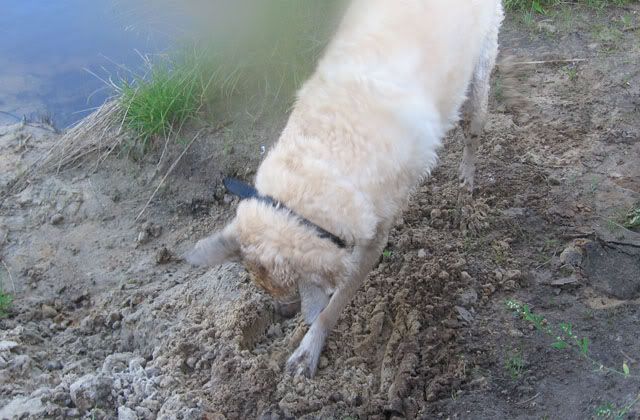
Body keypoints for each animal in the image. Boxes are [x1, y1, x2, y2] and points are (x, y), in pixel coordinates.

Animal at [186, 0, 504, 378]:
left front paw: (309, 347)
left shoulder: (372, 242)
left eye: (289, 292)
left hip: (480, 69)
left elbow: (333, 305)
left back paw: (465, 185)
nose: (282, 312)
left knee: (474, 128)